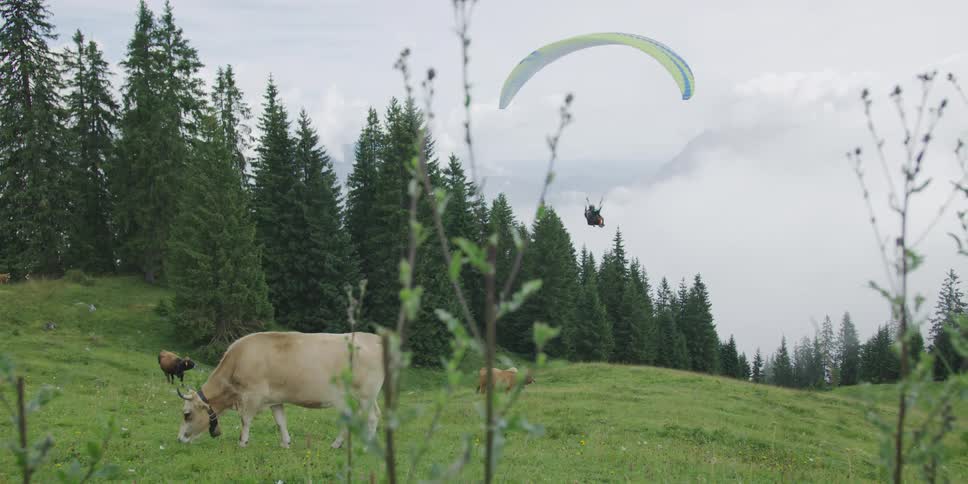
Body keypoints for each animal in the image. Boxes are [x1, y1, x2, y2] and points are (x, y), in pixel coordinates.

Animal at [175, 331, 385, 450]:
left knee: (370, 417)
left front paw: (242, 442)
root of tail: (373, 338)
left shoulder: (251, 397)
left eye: (187, 414)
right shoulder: (275, 399)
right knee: (374, 415)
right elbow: (280, 421)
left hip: (364, 395)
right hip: (366, 397)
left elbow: (245, 420)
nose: (179, 439)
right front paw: (285, 443)